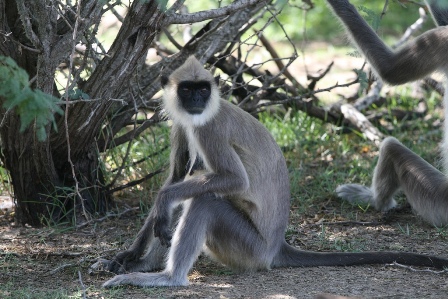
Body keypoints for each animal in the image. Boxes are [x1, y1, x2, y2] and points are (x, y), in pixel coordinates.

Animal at [95, 56, 448, 290]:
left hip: (248, 249)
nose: (196, 99)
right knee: (192, 191)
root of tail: (276, 246)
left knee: (205, 199)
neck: (201, 114)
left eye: (202, 90)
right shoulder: (183, 123)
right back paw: (145, 264)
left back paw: (168, 279)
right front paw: (129, 254)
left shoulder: (210, 129)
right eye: (187, 89)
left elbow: (228, 181)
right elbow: (175, 180)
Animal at [328, 0, 448, 225]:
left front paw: (340, 5)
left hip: (436, 197)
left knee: (391, 147)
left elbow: (388, 70)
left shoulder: (441, 40)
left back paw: (373, 200)